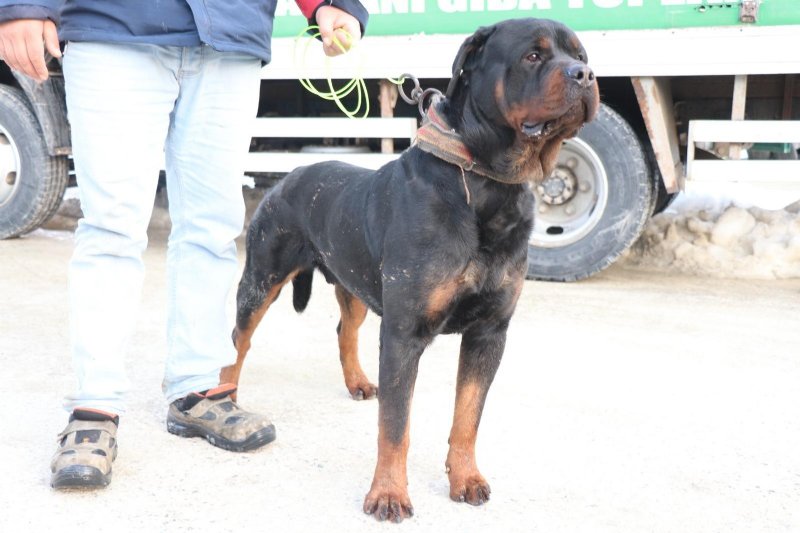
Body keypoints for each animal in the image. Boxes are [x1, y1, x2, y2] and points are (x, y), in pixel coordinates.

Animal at [222, 17, 596, 524]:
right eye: (533, 56)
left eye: (581, 55)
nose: (585, 75)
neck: (486, 184)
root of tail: (283, 178)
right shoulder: (404, 333)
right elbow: (395, 425)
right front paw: (388, 494)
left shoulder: (489, 332)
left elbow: (468, 416)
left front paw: (465, 478)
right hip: (261, 279)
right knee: (238, 338)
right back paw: (222, 394)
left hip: (355, 284)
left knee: (345, 329)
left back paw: (358, 382)